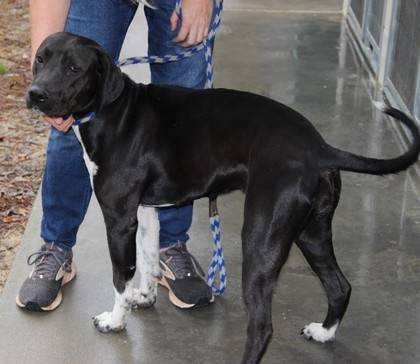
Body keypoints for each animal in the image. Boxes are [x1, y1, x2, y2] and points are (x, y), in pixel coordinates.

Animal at [27, 32, 420, 364]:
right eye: (40, 60)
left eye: (74, 69)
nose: (35, 94)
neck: (115, 110)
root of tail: (319, 147)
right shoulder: (146, 212)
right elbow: (149, 260)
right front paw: (145, 297)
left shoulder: (119, 220)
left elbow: (121, 276)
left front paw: (115, 319)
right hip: (312, 233)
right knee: (339, 286)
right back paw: (324, 333)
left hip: (260, 241)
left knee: (262, 326)